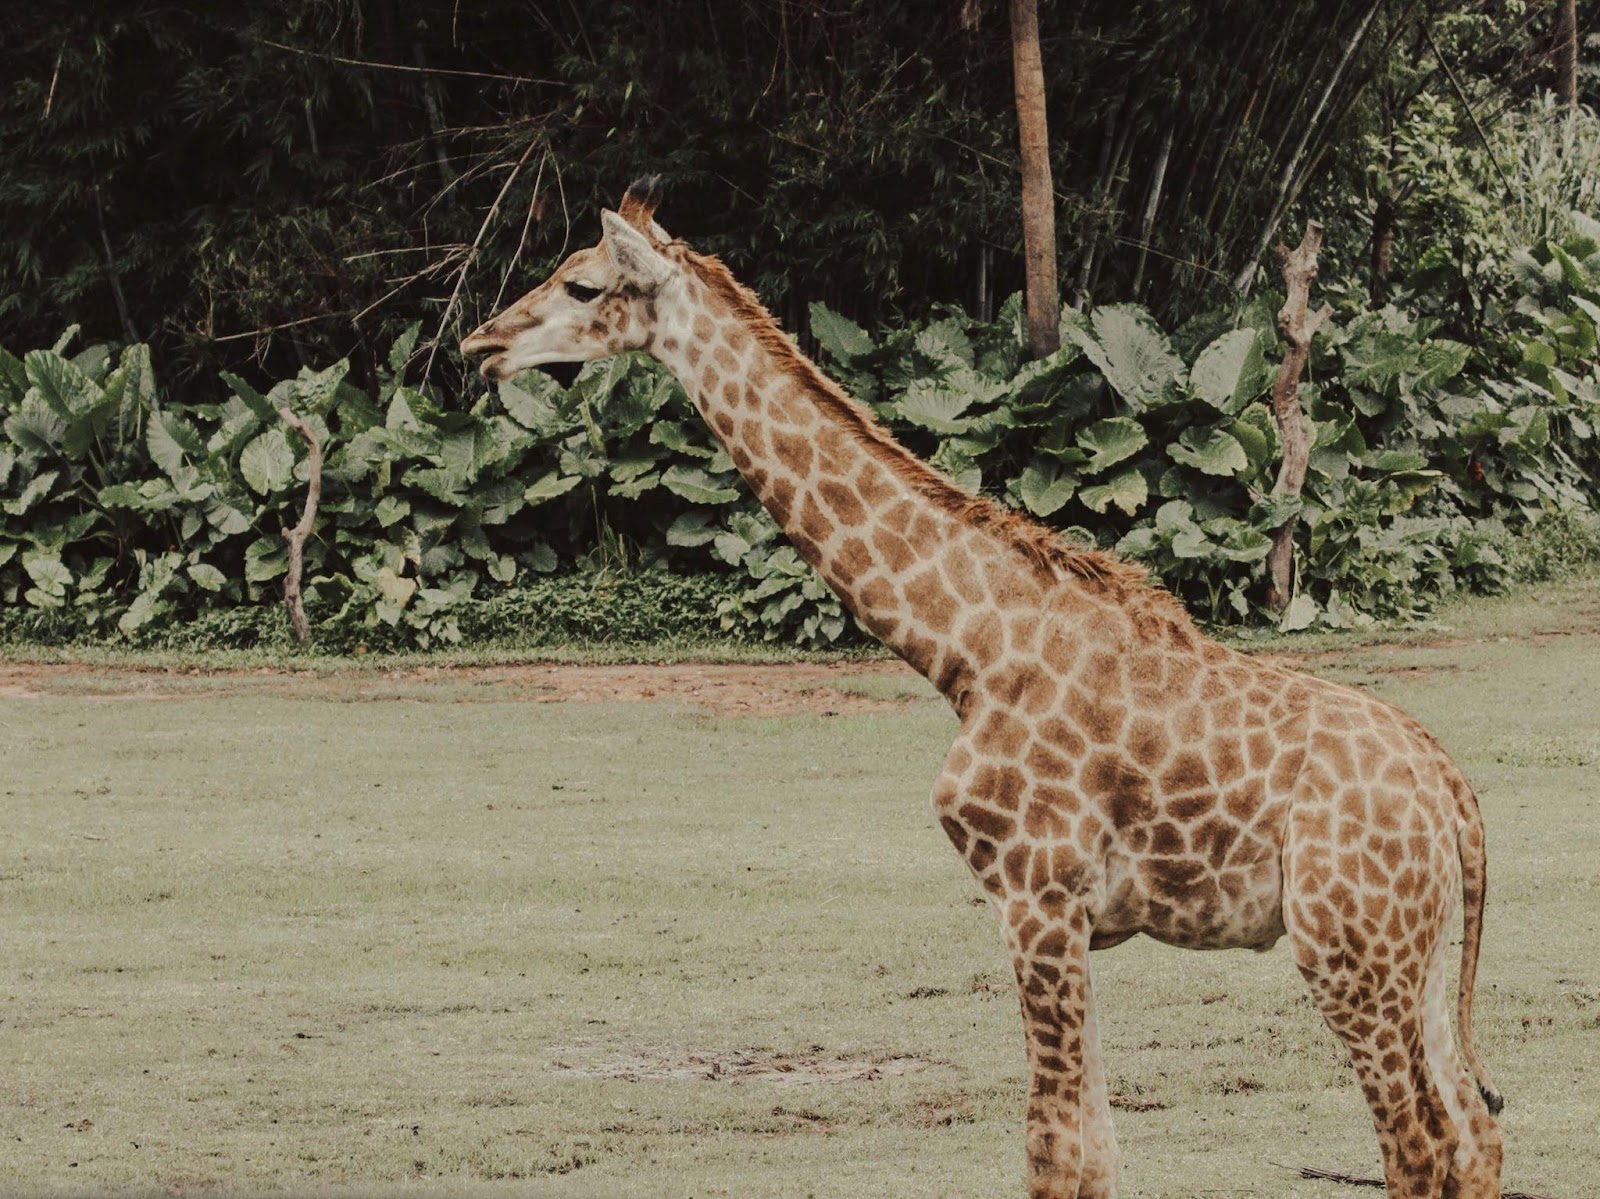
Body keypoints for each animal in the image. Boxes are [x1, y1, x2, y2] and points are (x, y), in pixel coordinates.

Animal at [460, 180, 1497, 1197]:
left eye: (583, 284)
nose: (480, 345)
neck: (966, 649)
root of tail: (1454, 795)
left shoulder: (1036, 897)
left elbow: (1052, 1152)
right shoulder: (1068, 920)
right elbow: (1098, 1151)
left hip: (1347, 945)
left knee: (1418, 1145)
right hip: (1417, 950)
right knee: (1476, 1130)